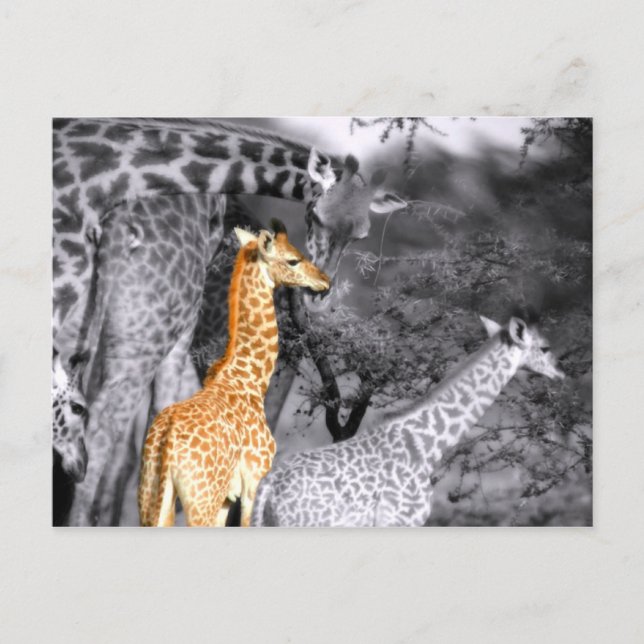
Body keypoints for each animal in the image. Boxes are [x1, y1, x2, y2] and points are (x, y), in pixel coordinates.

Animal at [138, 220, 330, 527]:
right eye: (293, 259)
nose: (324, 280)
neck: (249, 378)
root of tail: (165, 442)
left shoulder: (227, 499)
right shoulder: (253, 482)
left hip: (152, 498)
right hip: (200, 501)